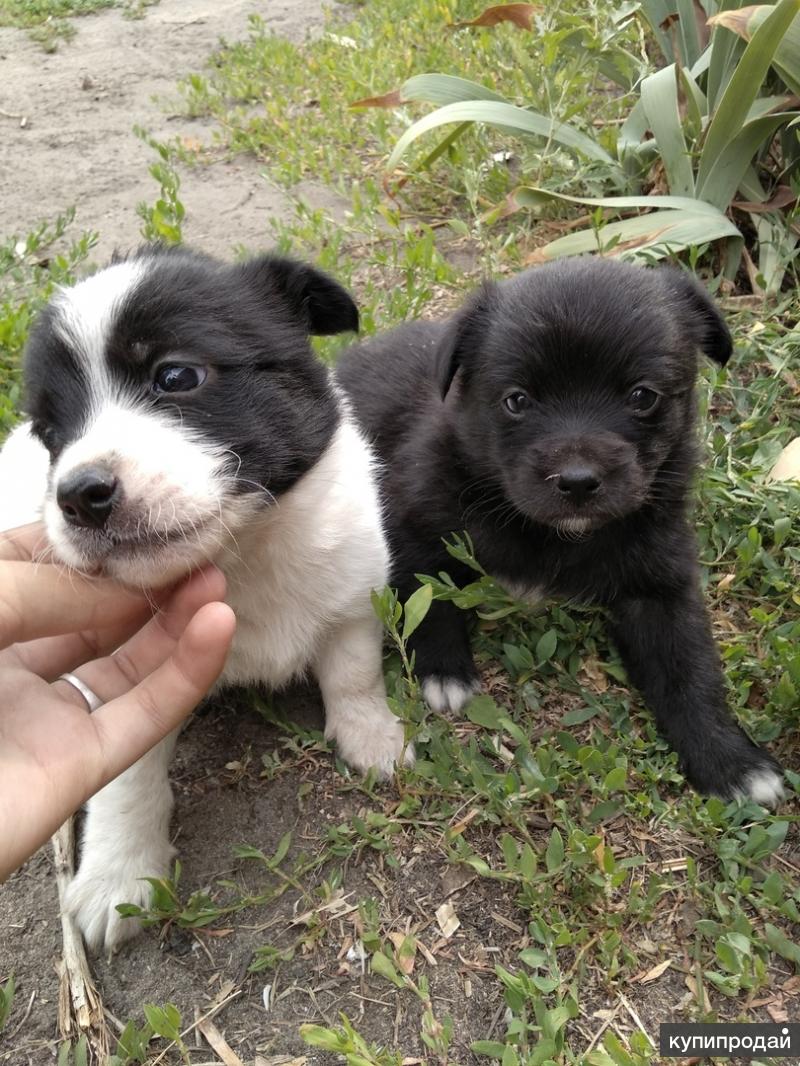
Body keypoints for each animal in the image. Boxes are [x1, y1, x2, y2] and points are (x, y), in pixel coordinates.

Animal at [0, 247, 413, 950]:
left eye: (176, 376)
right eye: (51, 431)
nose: (78, 494)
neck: (239, 554)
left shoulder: (352, 585)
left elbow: (353, 669)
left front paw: (372, 736)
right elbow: (127, 778)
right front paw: (119, 871)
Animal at [337, 255, 785, 805]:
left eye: (643, 396)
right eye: (516, 400)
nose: (576, 481)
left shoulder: (661, 583)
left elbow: (688, 669)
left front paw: (729, 760)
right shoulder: (407, 521)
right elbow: (429, 597)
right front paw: (445, 670)